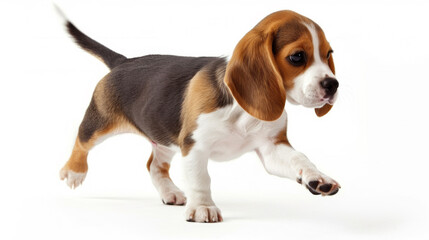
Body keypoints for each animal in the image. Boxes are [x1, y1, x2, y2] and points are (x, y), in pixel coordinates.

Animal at [60, 9, 340, 223]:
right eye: (297, 57)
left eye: (328, 54)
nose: (333, 84)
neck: (241, 111)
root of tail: (123, 61)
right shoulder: (194, 145)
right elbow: (200, 178)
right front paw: (203, 207)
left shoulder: (272, 147)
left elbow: (299, 159)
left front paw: (317, 178)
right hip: (101, 122)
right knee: (82, 140)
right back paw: (74, 172)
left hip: (164, 137)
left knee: (154, 166)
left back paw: (170, 192)